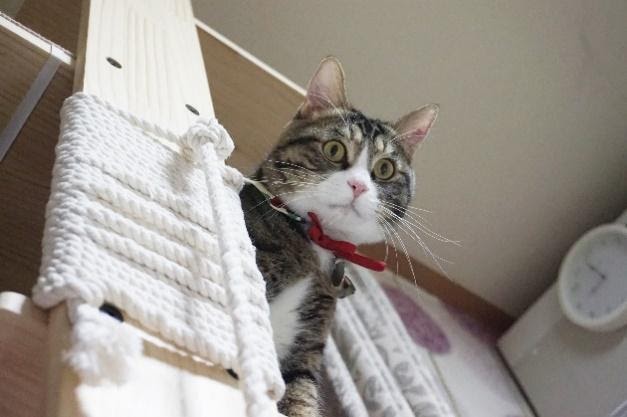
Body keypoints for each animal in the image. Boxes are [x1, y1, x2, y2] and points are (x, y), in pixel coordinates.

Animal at [238, 56, 440, 416]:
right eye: (334, 148)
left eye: (385, 169)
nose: (358, 185)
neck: (317, 242)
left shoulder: (305, 343)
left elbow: (300, 395)